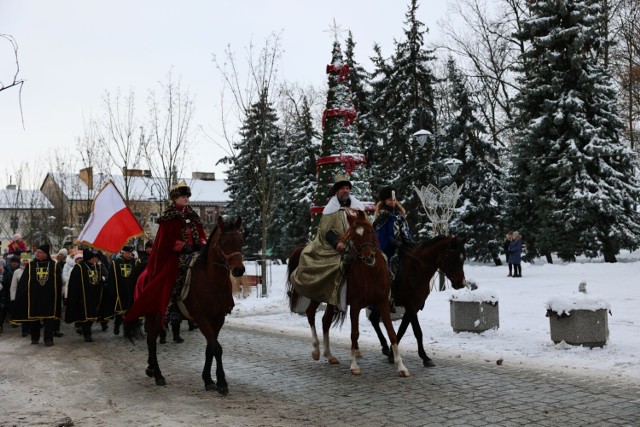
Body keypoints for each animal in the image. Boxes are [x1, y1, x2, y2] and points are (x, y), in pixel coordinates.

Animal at [125, 219, 245, 396]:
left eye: (241, 241)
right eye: (223, 242)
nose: (239, 270)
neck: (211, 280)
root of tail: (146, 269)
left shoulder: (218, 318)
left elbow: (210, 348)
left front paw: (208, 380)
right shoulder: (201, 317)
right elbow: (216, 348)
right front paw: (222, 383)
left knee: (151, 339)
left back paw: (151, 368)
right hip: (153, 314)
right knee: (151, 341)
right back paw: (158, 375)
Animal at [286, 211, 410, 378]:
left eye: (370, 232)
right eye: (354, 237)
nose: (369, 257)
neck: (371, 274)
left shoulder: (383, 302)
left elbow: (391, 332)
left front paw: (401, 366)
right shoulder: (356, 306)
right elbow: (354, 333)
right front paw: (354, 365)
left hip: (331, 299)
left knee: (325, 321)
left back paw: (329, 355)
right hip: (318, 295)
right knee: (310, 313)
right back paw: (316, 350)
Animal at [368, 234, 468, 368]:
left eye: (463, 258)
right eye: (452, 258)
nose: (461, 283)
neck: (415, 269)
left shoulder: (413, 306)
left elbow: (402, 329)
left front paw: (392, 355)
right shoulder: (410, 305)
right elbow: (417, 331)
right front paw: (425, 357)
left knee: (374, 319)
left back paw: (385, 347)